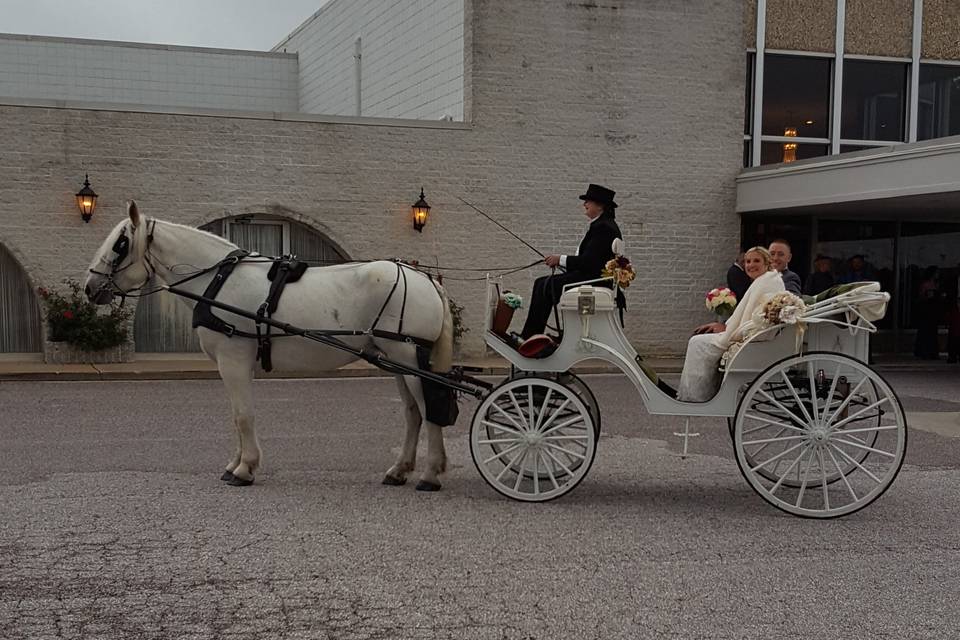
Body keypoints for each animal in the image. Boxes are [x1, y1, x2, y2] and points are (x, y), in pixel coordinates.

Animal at [84, 201, 456, 490]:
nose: (89, 287)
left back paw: (430, 474)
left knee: (427, 410)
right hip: (397, 360)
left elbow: (243, 415)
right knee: (413, 413)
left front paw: (245, 469)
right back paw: (400, 470)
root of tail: (426, 279)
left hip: (408, 356)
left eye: (120, 244)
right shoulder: (235, 364)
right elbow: (237, 416)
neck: (218, 281)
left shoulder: (233, 359)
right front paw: (234, 464)